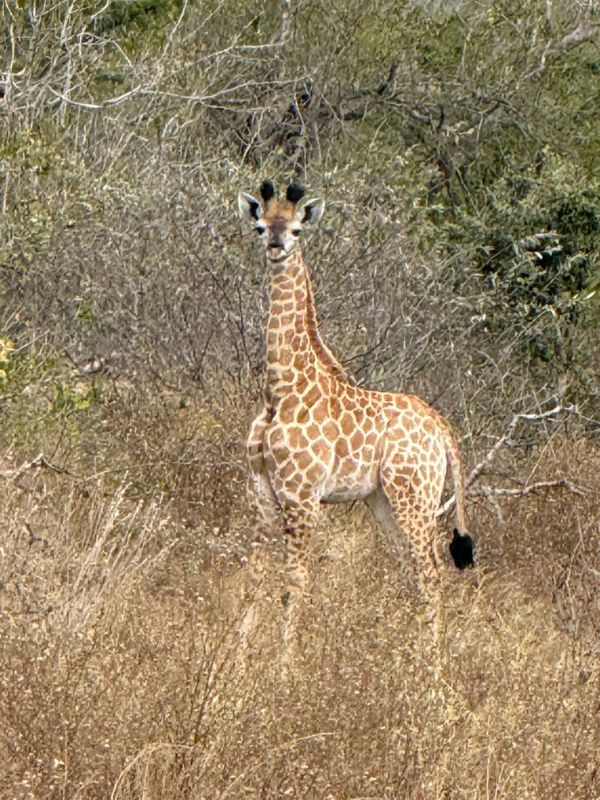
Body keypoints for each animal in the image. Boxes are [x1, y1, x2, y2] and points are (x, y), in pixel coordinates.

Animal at [238, 180, 474, 639]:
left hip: (414, 495)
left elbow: (296, 579)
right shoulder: (262, 489)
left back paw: (431, 660)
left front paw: (283, 657)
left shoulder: (302, 494)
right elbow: (254, 576)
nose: (276, 245)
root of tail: (441, 427)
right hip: (383, 500)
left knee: (432, 571)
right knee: (414, 571)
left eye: (296, 230)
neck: (280, 389)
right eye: (260, 227)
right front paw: (233, 654)